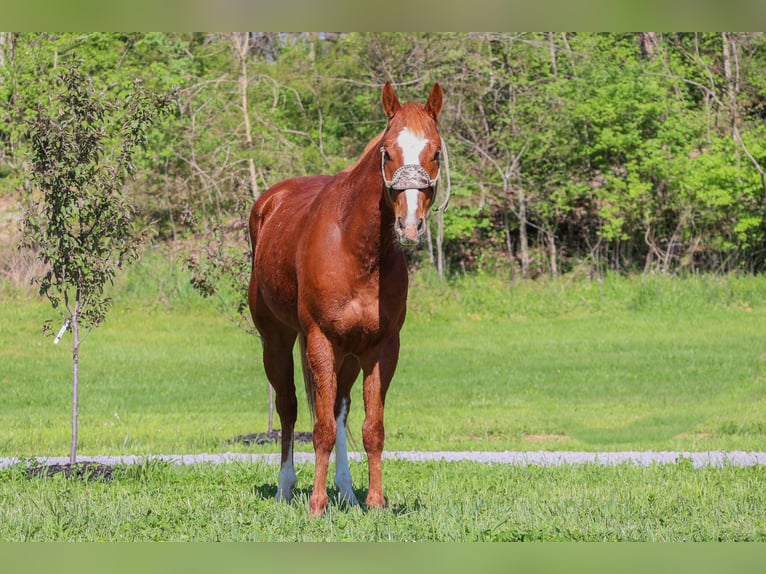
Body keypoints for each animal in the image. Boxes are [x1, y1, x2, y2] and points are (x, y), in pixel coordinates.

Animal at [249, 81, 448, 516]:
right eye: (387, 151)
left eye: (436, 152)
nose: (410, 224)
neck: (356, 249)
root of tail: (270, 203)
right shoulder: (321, 341)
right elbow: (320, 427)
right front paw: (316, 505)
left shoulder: (380, 347)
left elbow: (371, 428)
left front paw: (374, 501)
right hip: (276, 341)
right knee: (289, 407)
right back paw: (287, 488)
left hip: (350, 354)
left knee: (340, 407)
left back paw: (346, 490)